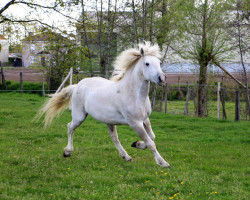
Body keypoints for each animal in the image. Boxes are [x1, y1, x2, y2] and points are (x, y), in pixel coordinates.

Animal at [36, 41, 171, 168]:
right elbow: (151, 143)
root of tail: (77, 85)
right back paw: (67, 152)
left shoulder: (145, 119)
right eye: (147, 63)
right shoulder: (135, 123)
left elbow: (152, 137)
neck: (133, 94)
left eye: (159, 63)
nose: (162, 78)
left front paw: (136, 144)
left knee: (114, 138)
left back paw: (126, 157)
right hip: (79, 116)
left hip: (109, 121)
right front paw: (164, 163)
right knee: (70, 127)